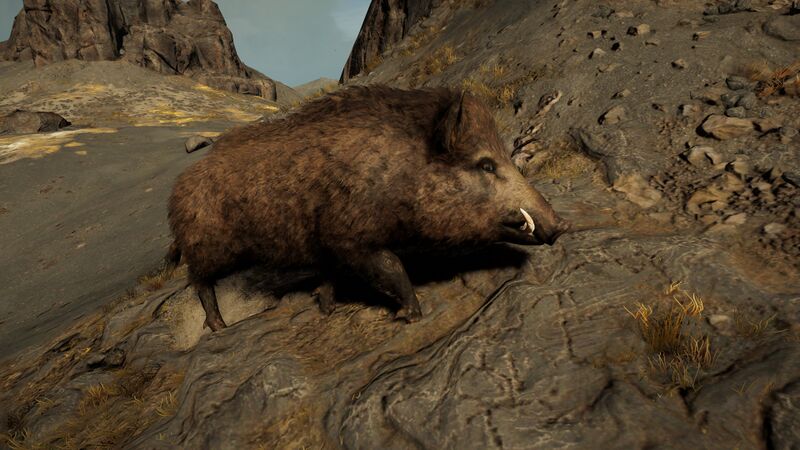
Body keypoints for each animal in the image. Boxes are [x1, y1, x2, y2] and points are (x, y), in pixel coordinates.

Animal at [167, 85, 569, 331]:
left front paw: (327, 306)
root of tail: (179, 188)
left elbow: (330, 276)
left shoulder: (328, 245)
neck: (400, 168)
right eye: (485, 164)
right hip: (208, 245)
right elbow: (392, 268)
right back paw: (219, 327)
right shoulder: (352, 238)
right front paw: (410, 316)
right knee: (199, 282)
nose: (561, 225)